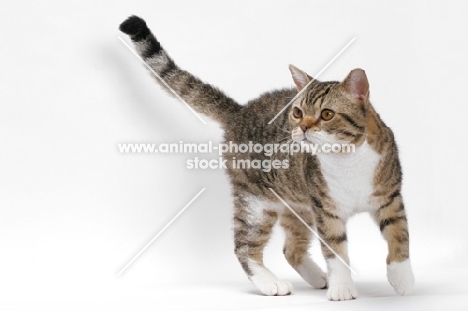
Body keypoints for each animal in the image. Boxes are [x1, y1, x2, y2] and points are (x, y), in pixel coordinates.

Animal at [119, 15, 414, 302]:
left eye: (327, 114)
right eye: (297, 112)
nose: (302, 127)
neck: (346, 158)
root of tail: (240, 112)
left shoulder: (390, 198)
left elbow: (399, 237)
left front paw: (402, 279)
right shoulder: (326, 212)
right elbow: (335, 250)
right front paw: (341, 287)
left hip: (299, 208)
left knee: (291, 249)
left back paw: (317, 277)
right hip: (256, 204)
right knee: (244, 247)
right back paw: (270, 282)